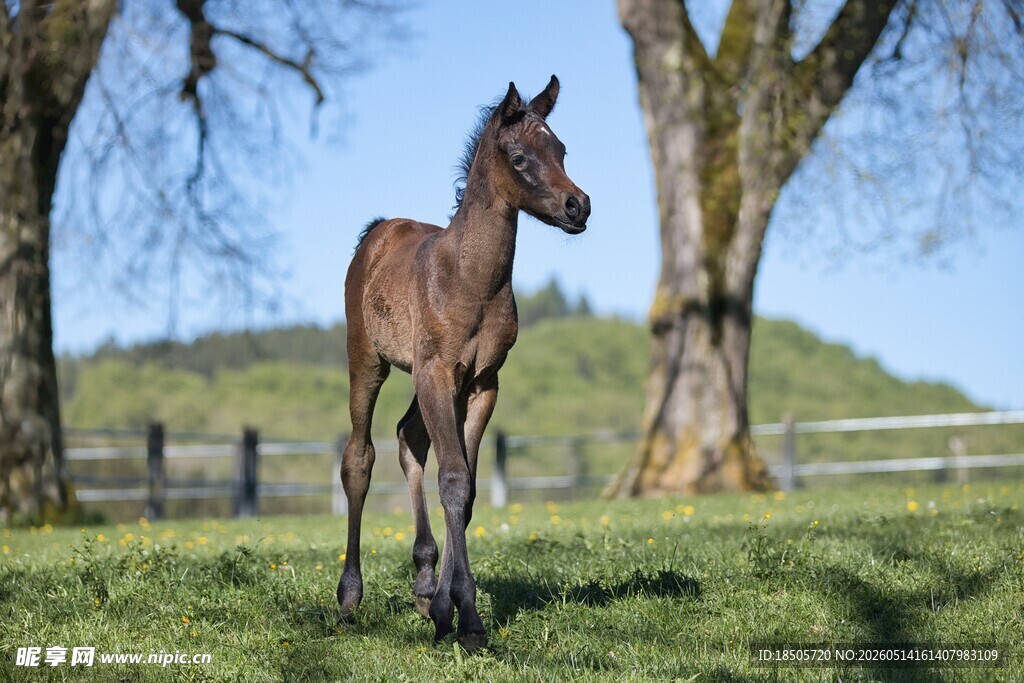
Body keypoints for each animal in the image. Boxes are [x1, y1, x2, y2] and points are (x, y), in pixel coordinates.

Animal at [338, 75, 590, 649]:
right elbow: (452, 479)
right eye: (519, 157)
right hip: (369, 360)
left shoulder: (481, 382)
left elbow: (468, 489)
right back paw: (349, 599)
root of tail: (379, 230)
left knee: (409, 437)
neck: (471, 279)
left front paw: (450, 610)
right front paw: (466, 617)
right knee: (359, 458)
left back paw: (425, 585)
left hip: (433, 382)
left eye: (562, 150)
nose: (578, 206)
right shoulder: (437, 372)